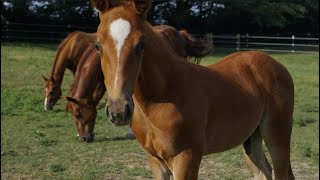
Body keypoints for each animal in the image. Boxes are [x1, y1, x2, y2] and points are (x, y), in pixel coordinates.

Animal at [91, 0, 294, 179]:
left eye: (141, 44)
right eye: (97, 45)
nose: (118, 111)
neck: (163, 95)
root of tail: (275, 64)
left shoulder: (186, 158)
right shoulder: (156, 161)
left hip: (277, 136)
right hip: (251, 137)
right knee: (264, 171)